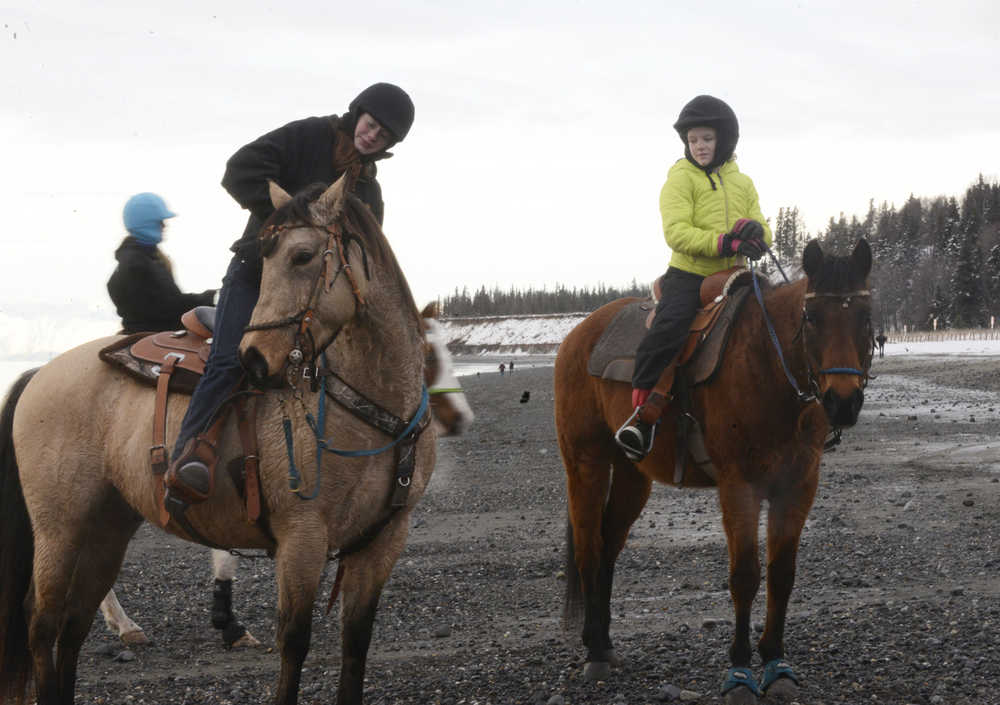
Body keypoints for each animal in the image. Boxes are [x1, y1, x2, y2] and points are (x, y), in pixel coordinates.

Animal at [0, 172, 438, 704]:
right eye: (264, 260)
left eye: (302, 256)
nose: (253, 358)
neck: (370, 407)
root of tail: (39, 373)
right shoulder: (302, 537)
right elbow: (294, 642)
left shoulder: (383, 541)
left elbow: (356, 644)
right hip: (59, 527)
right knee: (41, 624)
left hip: (107, 526)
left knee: (73, 625)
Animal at [556, 239, 876, 700]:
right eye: (812, 317)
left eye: (864, 316)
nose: (844, 402)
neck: (767, 365)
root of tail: (577, 336)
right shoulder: (738, 487)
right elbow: (744, 575)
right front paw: (739, 671)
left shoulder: (798, 486)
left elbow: (782, 574)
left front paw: (776, 663)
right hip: (586, 465)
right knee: (589, 548)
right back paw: (595, 653)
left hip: (633, 477)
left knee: (609, 548)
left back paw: (604, 641)